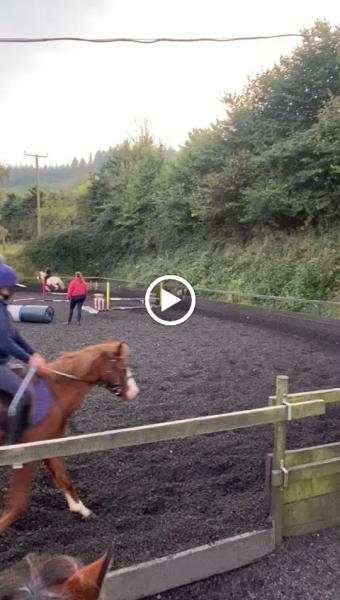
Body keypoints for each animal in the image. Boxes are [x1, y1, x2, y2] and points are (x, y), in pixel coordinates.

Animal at [0, 340, 139, 532]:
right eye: (123, 366)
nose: (135, 391)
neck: (54, 392)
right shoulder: (27, 453)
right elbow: (17, 505)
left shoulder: (48, 444)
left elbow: (63, 478)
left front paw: (81, 510)